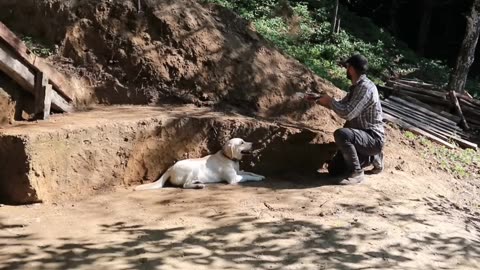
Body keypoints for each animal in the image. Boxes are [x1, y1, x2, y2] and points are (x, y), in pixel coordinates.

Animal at [133, 138, 264, 191]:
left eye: (244, 140)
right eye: (242, 143)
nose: (253, 143)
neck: (230, 158)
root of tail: (170, 168)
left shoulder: (238, 171)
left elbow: (249, 172)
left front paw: (260, 175)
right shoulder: (234, 178)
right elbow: (246, 177)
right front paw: (257, 179)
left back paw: (198, 182)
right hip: (191, 169)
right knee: (185, 185)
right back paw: (198, 186)